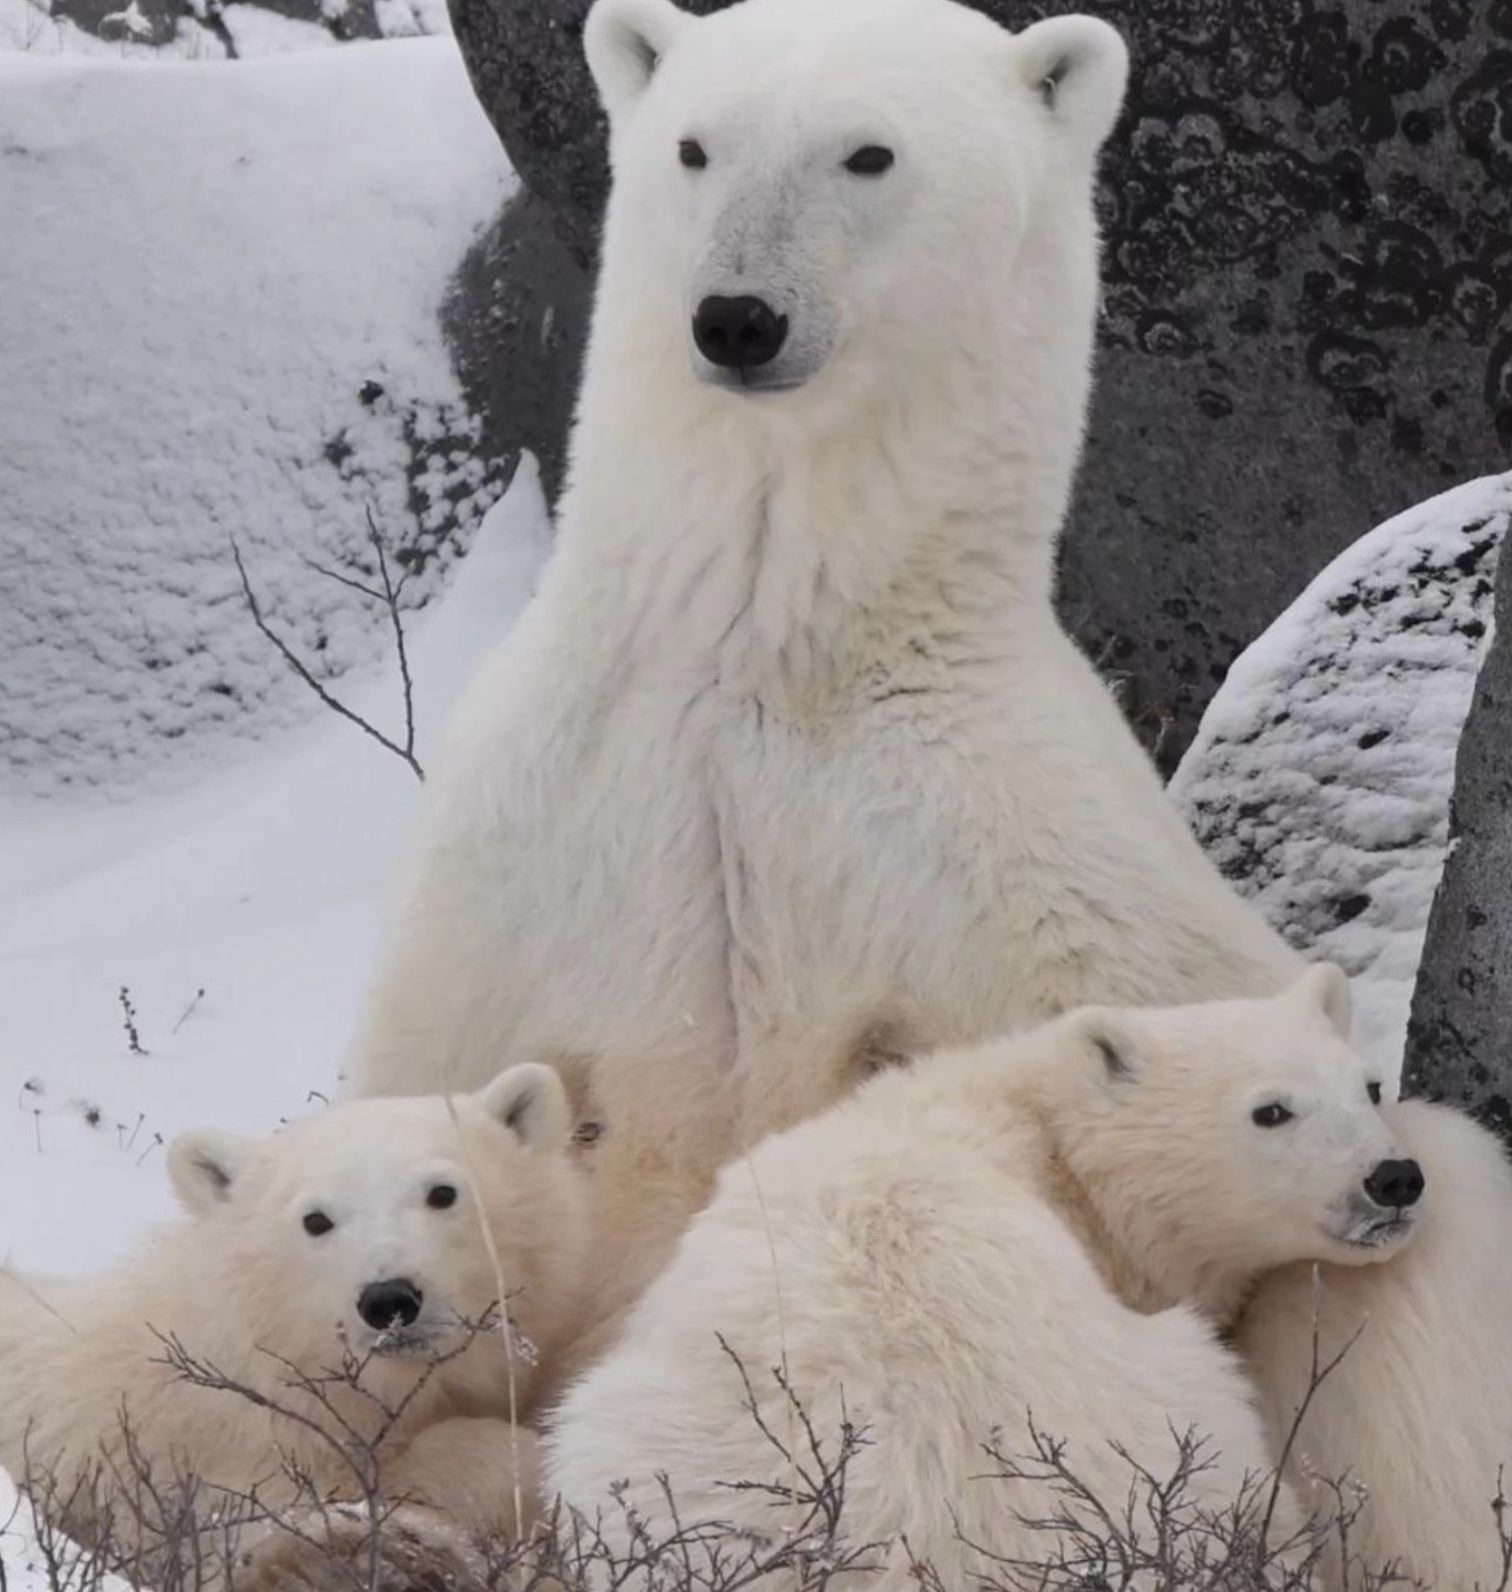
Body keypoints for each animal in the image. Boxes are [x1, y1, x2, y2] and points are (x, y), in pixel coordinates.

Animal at [348, 0, 1297, 1357]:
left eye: (869, 153)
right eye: (695, 145)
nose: (737, 316)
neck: (761, 646)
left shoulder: (1037, 871)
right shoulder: (520, 851)